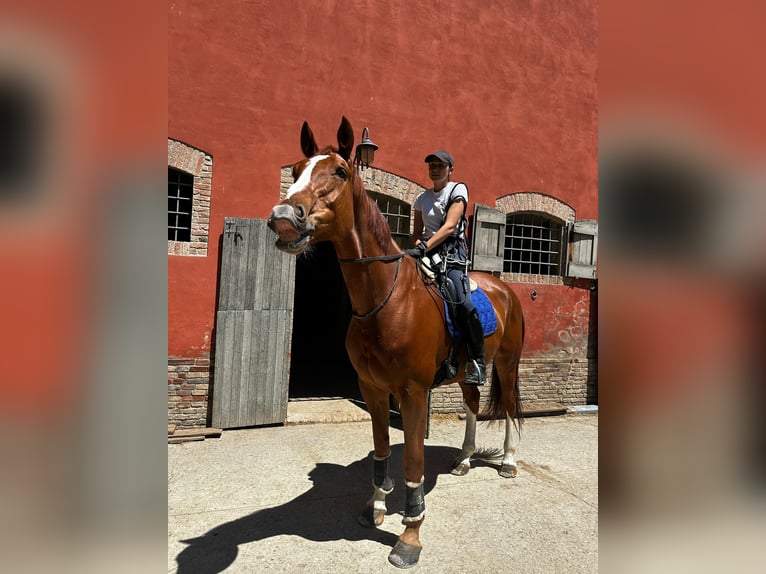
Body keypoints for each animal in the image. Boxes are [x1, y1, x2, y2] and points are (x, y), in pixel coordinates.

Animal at [267, 116, 524, 569]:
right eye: (296, 169)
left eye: (340, 172)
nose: (283, 217)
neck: (384, 301)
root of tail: (506, 289)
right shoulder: (372, 389)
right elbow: (381, 452)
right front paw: (375, 508)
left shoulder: (413, 393)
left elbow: (413, 463)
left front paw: (410, 534)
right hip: (467, 371)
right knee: (473, 406)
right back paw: (463, 460)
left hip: (508, 362)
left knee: (508, 406)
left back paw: (508, 462)